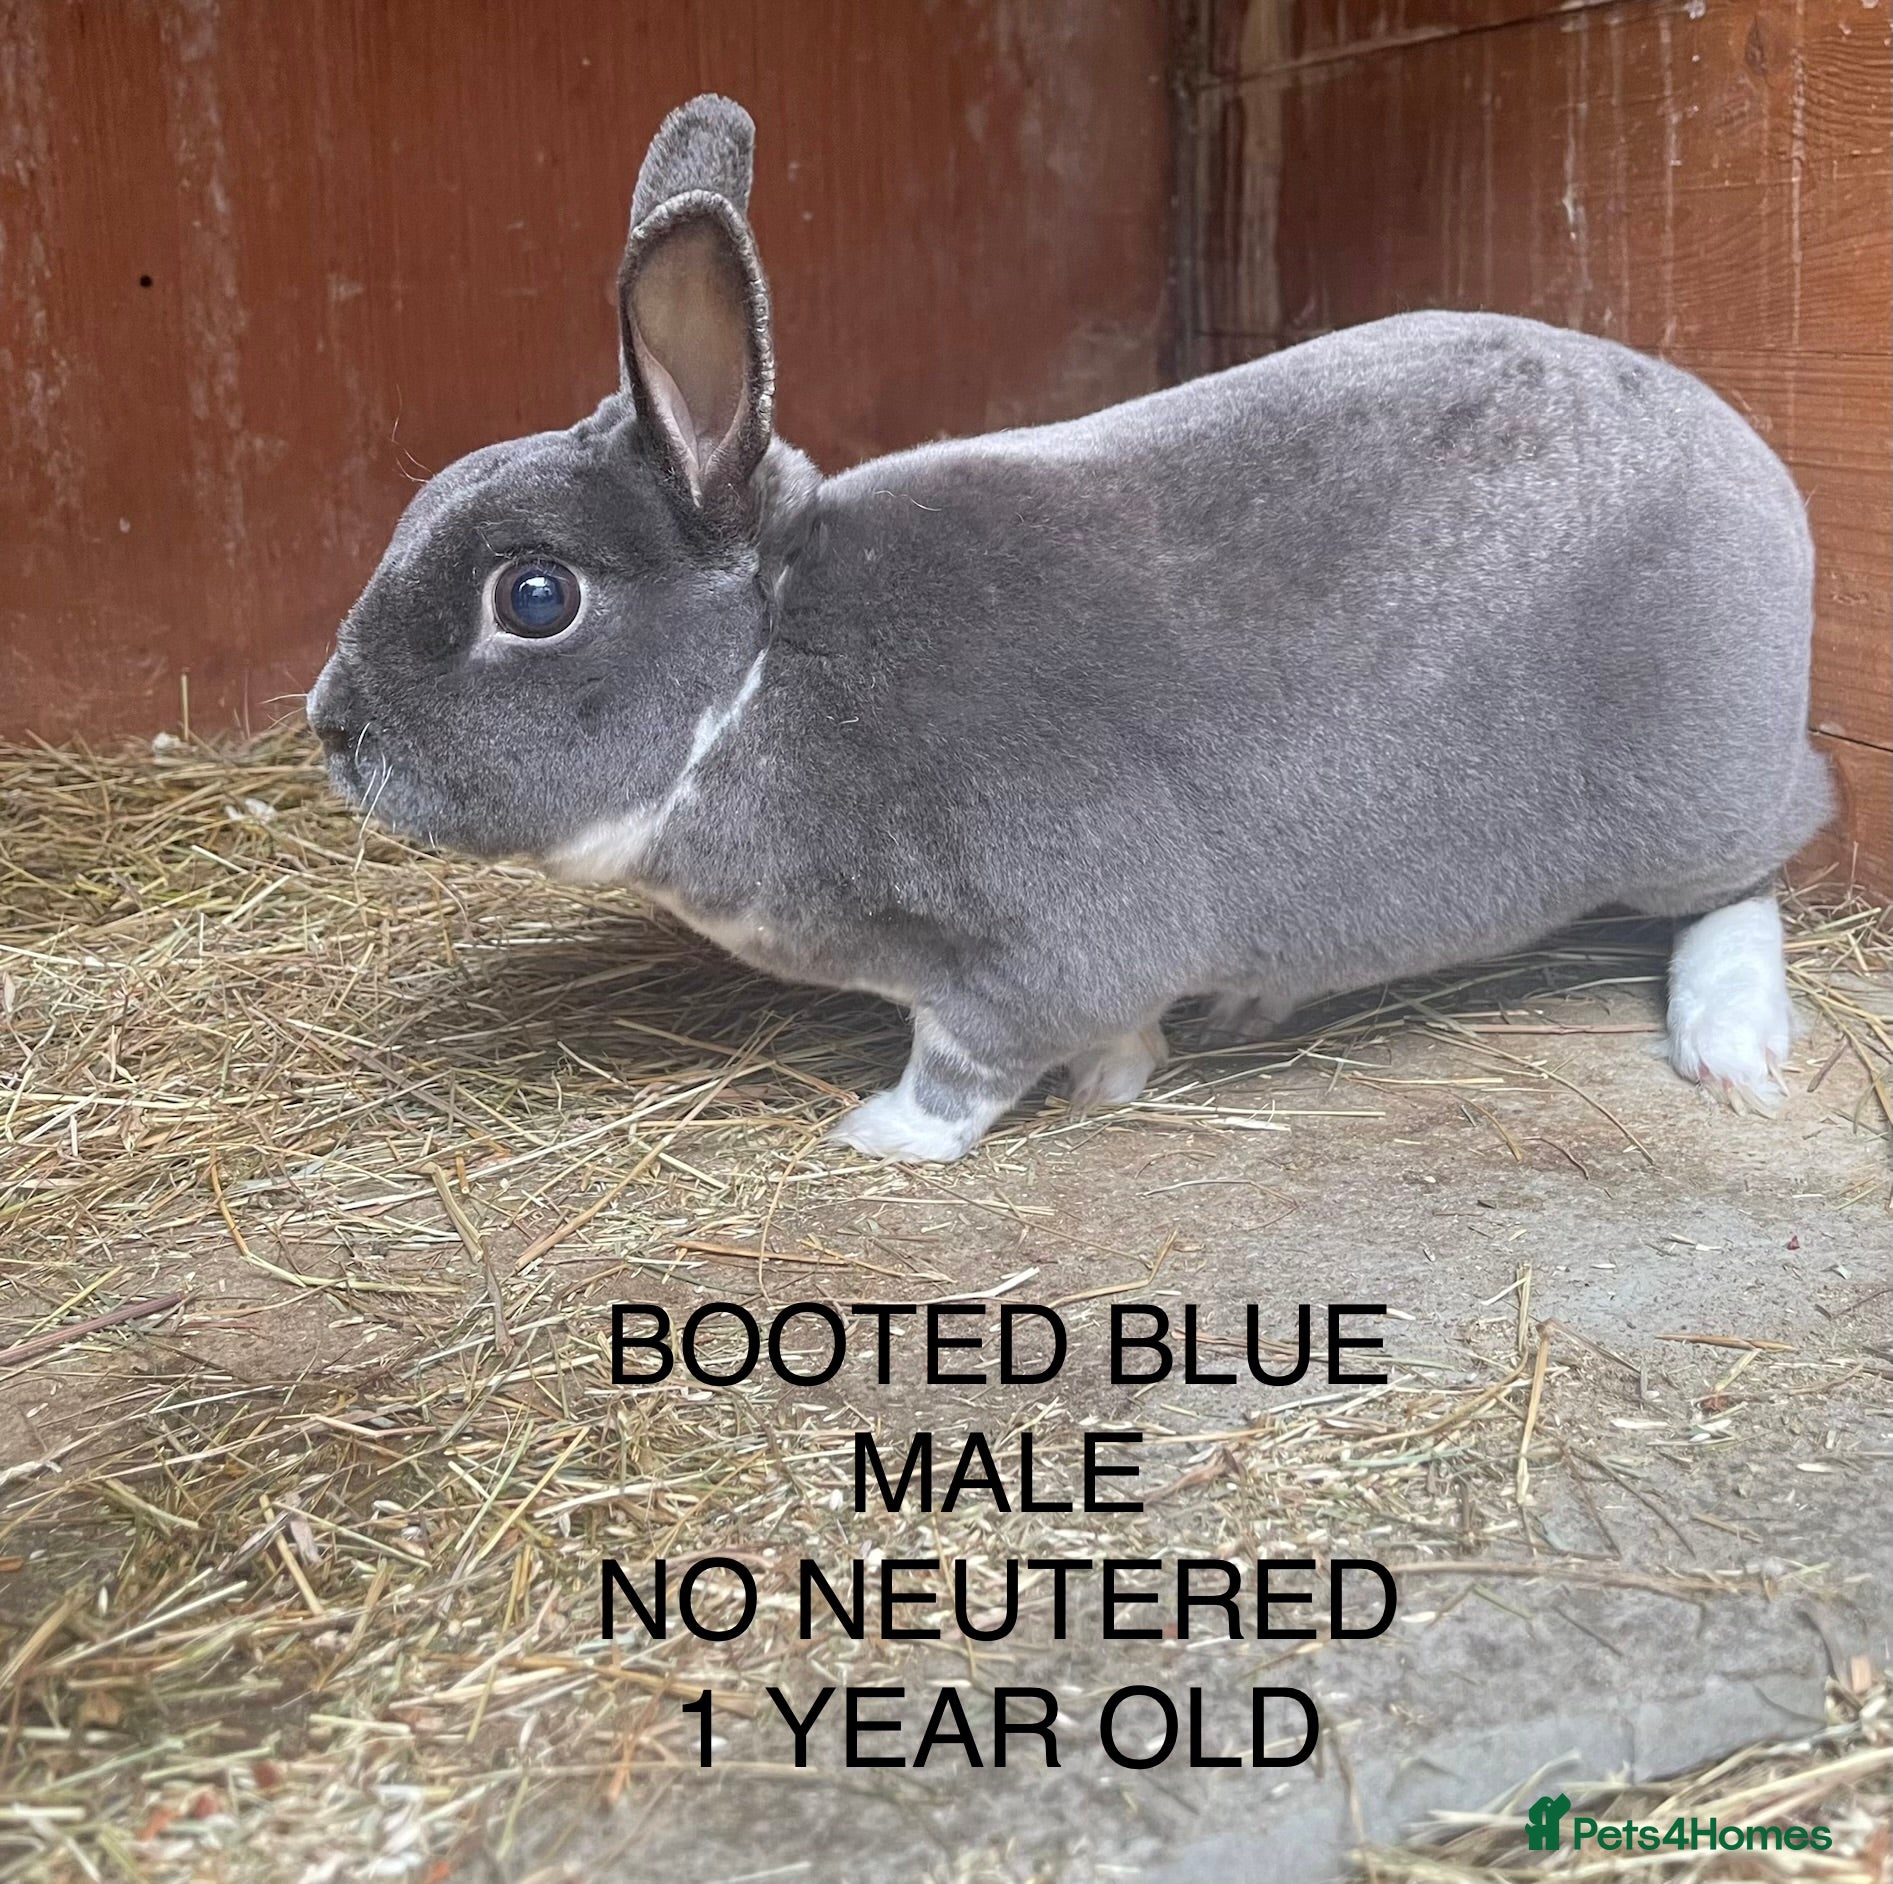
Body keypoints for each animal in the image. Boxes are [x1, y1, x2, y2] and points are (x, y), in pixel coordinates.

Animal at [308, 94, 1833, 1163]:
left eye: (535, 597)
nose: (333, 729)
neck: (764, 670)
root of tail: (1754, 465)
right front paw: (1127, 1070)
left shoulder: (1031, 941)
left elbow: (976, 1055)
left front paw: (885, 1133)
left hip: (1688, 792)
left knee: (1757, 867)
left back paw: (1730, 1039)